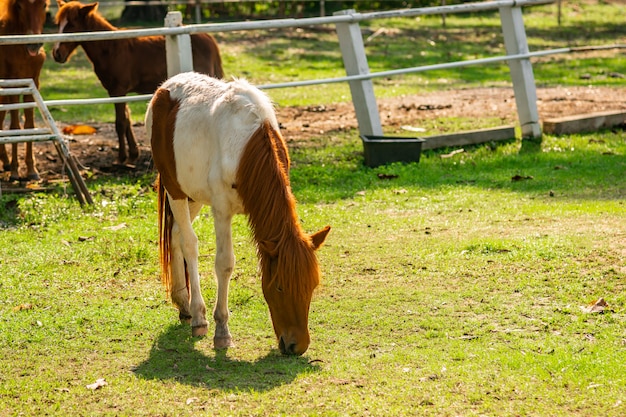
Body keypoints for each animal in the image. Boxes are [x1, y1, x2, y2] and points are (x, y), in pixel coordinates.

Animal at [0, 0, 48, 179]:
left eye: (44, 5)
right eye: (19, 6)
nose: (33, 44)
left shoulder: (32, 85)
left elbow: (29, 125)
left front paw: (31, 170)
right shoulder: (13, 85)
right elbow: (15, 127)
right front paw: (15, 171)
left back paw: (5, 162)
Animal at [51, 1, 222, 167]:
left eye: (71, 25)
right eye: (58, 23)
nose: (57, 53)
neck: (110, 49)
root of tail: (209, 39)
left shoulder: (118, 90)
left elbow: (120, 123)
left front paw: (121, 157)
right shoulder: (117, 92)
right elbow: (127, 120)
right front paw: (133, 154)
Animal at [147, 72, 332, 354]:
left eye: (312, 285)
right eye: (279, 287)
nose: (296, 345)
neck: (246, 147)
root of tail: (164, 89)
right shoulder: (221, 210)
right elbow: (224, 264)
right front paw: (222, 330)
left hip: (194, 195)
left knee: (177, 234)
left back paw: (184, 303)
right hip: (174, 188)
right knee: (189, 243)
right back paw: (198, 316)